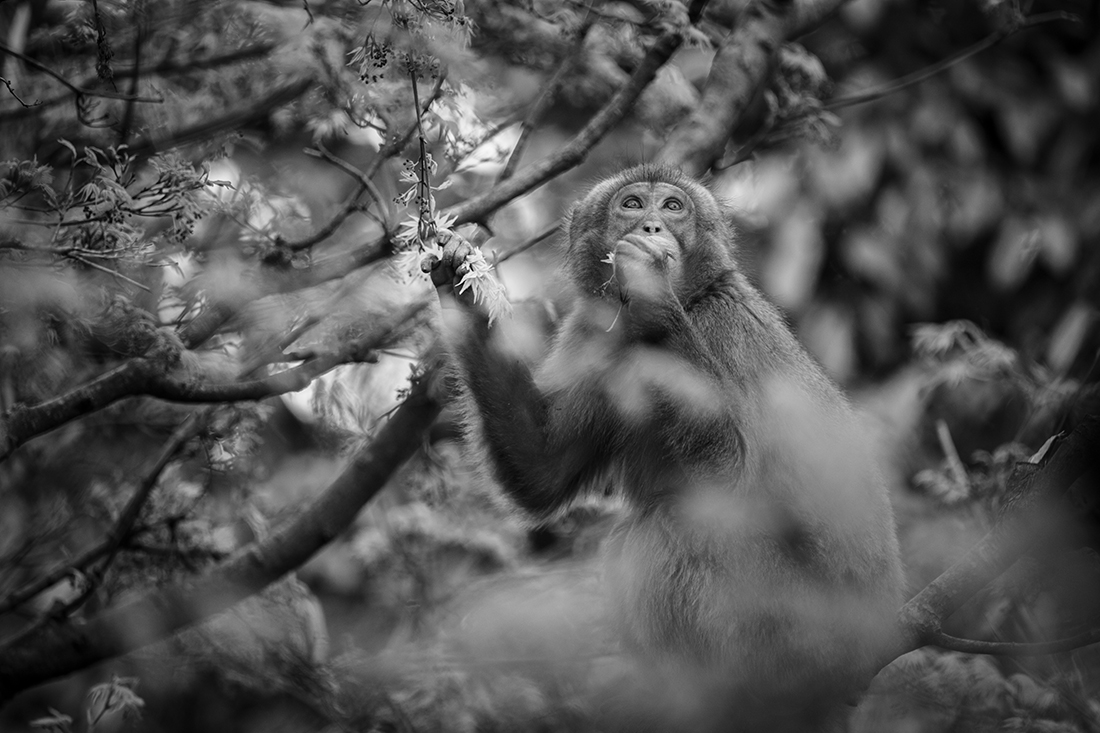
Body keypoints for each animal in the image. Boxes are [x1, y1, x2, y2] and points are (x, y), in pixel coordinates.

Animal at [429, 165, 904, 732]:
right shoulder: (595, 338)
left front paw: (653, 295)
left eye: (673, 207)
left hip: (803, 634)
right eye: (633, 204)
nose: (652, 227)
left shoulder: (724, 325)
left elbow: (728, 476)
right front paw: (463, 287)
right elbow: (542, 471)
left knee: (675, 526)